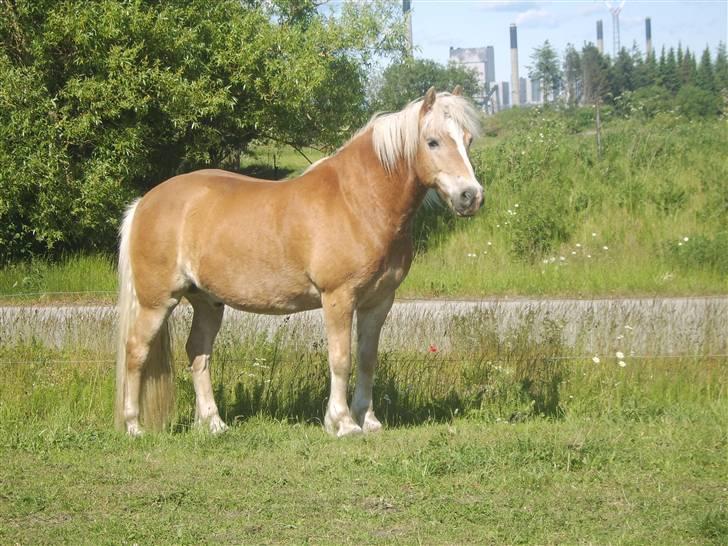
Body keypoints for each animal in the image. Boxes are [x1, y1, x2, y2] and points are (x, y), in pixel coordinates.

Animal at [114, 87, 484, 436]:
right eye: (432, 141)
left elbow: (367, 359)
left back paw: (214, 423)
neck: (358, 202)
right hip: (157, 302)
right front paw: (343, 423)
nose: (471, 196)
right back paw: (133, 426)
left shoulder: (379, 301)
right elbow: (341, 359)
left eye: (467, 140)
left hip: (207, 302)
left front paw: (369, 420)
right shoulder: (338, 298)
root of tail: (144, 202)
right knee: (136, 351)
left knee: (198, 354)